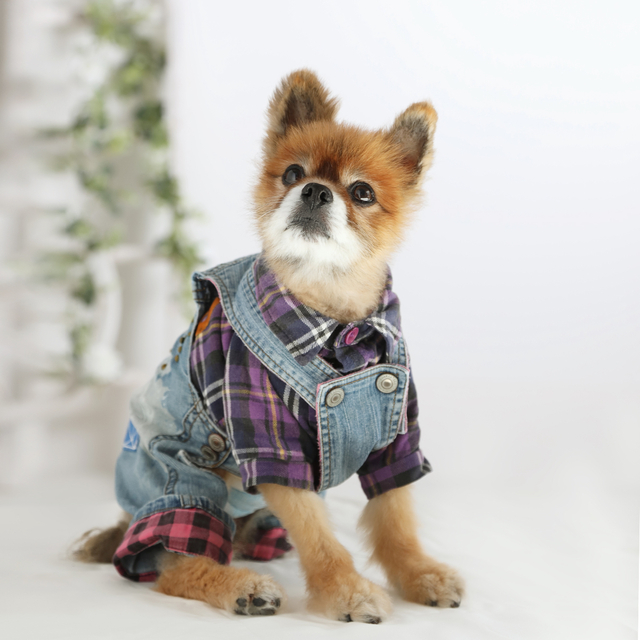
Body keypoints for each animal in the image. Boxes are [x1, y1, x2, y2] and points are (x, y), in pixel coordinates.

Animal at [75, 69, 464, 623]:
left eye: (363, 192)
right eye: (293, 173)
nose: (315, 191)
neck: (332, 316)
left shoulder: (396, 437)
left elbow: (396, 518)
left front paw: (419, 573)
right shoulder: (270, 445)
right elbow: (319, 536)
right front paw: (346, 590)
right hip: (188, 480)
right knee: (172, 564)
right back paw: (241, 586)